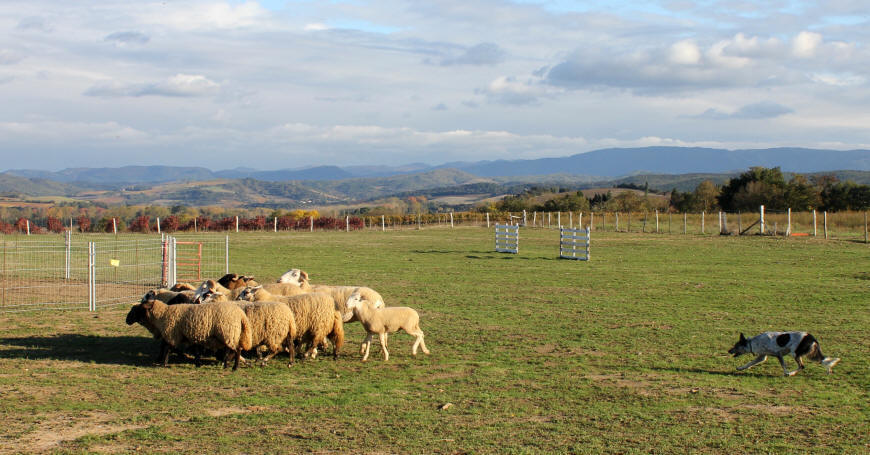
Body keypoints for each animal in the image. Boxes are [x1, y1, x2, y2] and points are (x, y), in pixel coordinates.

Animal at [126, 300, 255, 370]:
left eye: (138, 309)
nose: (127, 320)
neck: (162, 315)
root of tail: (241, 314)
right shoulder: (190, 336)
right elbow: (196, 351)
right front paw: (197, 363)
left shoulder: (172, 335)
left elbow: (167, 349)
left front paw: (164, 363)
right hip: (229, 335)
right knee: (232, 349)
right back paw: (227, 364)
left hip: (228, 332)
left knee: (236, 350)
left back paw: (234, 367)